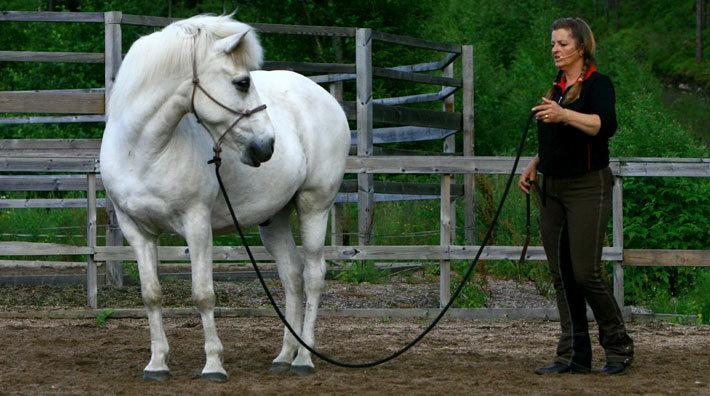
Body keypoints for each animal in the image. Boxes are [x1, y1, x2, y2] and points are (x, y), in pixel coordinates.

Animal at [101, 14, 352, 380]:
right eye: (243, 83)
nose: (267, 146)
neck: (142, 150)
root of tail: (326, 98)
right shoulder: (137, 231)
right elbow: (151, 295)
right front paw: (157, 363)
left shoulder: (196, 224)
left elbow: (203, 295)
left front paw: (213, 365)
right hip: (274, 218)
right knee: (292, 275)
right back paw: (284, 356)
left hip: (314, 205)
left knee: (314, 276)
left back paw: (304, 359)